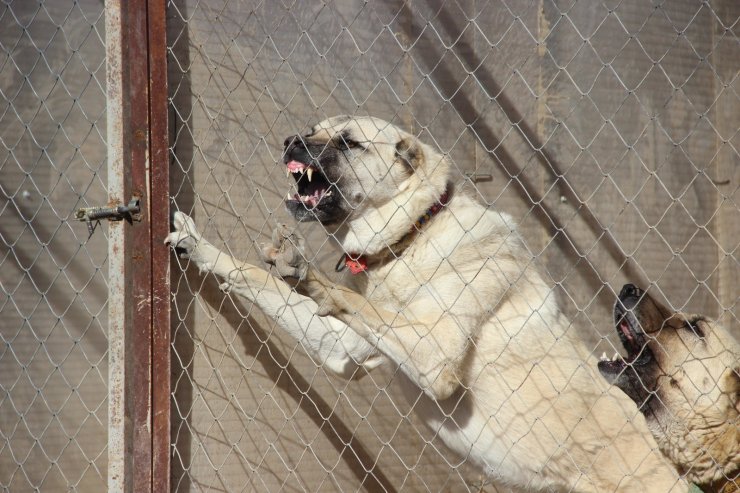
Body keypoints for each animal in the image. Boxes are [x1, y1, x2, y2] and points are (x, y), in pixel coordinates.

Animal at [168, 116, 688, 492]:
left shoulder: (433, 353)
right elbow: (256, 277)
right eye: (312, 128)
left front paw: (311, 276)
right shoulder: (343, 347)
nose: (291, 141)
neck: (413, 237)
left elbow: (352, 300)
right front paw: (202, 249)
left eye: (349, 142)